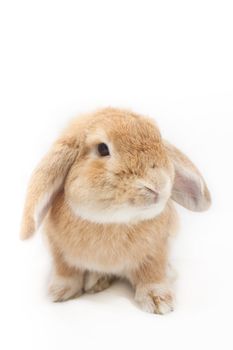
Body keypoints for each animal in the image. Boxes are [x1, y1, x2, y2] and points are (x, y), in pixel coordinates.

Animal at [20, 107, 211, 314]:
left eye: (159, 140)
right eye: (103, 148)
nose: (158, 184)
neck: (113, 221)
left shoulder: (156, 252)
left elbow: (152, 275)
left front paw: (159, 301)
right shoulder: (59, 251)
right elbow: (66, 271)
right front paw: (60, 292)